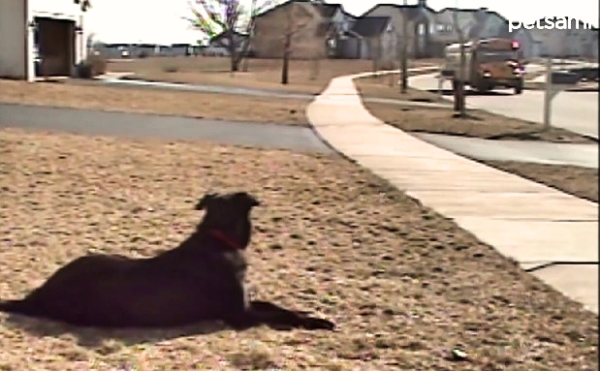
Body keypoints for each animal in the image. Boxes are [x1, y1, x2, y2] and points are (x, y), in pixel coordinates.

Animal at [0, 192, 336, 332]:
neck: (217, 238)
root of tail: (39, 297)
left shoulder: (247, 302)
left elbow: (281, 308)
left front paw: (312, 315)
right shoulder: (239, 315)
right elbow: (277, 315)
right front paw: (313, 323)